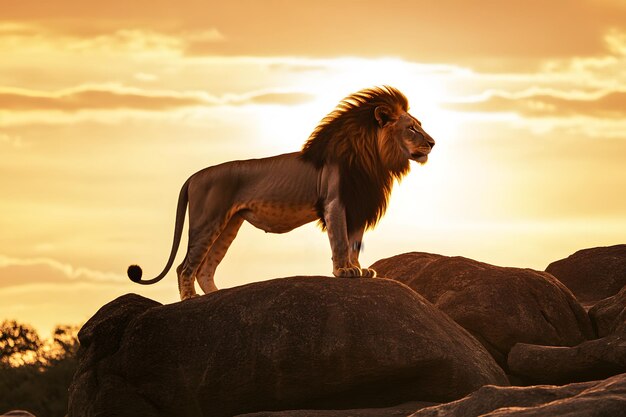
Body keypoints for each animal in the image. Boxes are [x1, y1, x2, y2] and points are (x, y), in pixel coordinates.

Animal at [127, 85, 434, 300]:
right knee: (185, 267)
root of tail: (192, 176)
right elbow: (340, 242)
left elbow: (355, 243)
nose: (433, 142)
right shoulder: (336, 203)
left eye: (419, 125)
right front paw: (344, 271)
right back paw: (191, 299)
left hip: (229, 225)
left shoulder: (359, 206)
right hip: (207, 221)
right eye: (411, 128)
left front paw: (361, 269)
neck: (375, 160)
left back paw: (215, 296)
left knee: (206, 268)